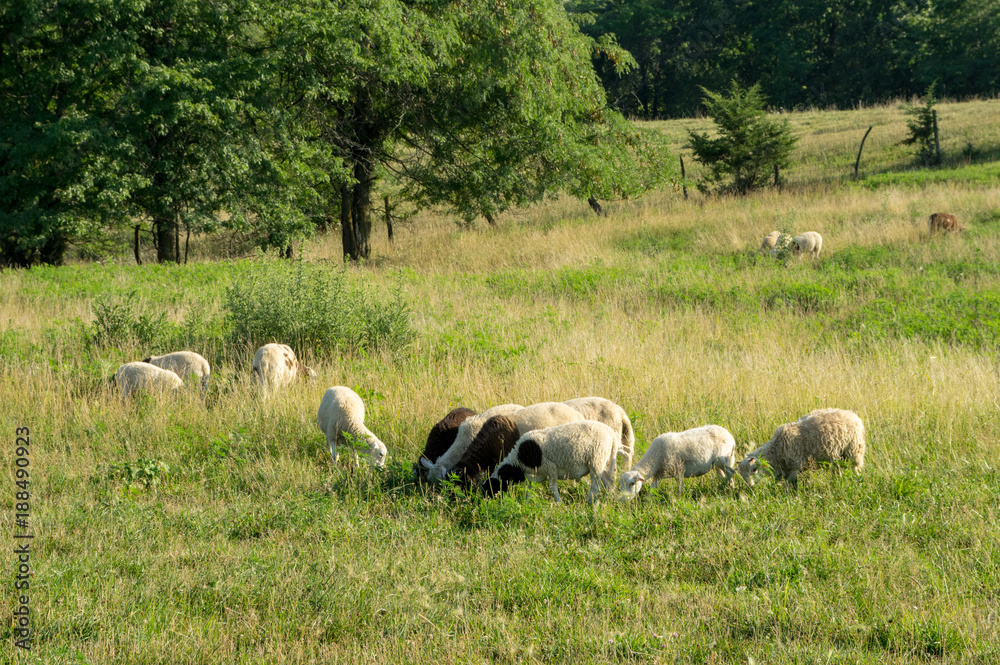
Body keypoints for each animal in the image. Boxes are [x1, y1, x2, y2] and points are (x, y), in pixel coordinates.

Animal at [484, 420, 618, 504]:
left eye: (491, 489)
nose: (486, 504)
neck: (518, 461)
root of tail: (611, 433)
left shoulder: (550, 467)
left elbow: (552, 488)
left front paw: (559, 503)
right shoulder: (533, 475)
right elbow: (529, 489)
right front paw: (527, 502)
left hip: (595, 460)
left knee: (596, 486)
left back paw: (588, 502)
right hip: (601, 462)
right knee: (609, 483)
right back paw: (608, 500)